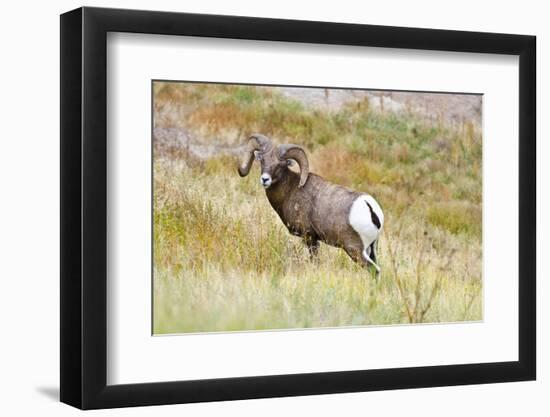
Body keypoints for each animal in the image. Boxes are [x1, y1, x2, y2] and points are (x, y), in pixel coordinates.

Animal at [239, 134, 386, 276]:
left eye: (280, 165)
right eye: (262, 160)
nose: (265, 179)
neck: (290, 190)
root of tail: (370, 208)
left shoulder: (310, 238)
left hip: (355, 250)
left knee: (374, 270)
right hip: (371, 248)